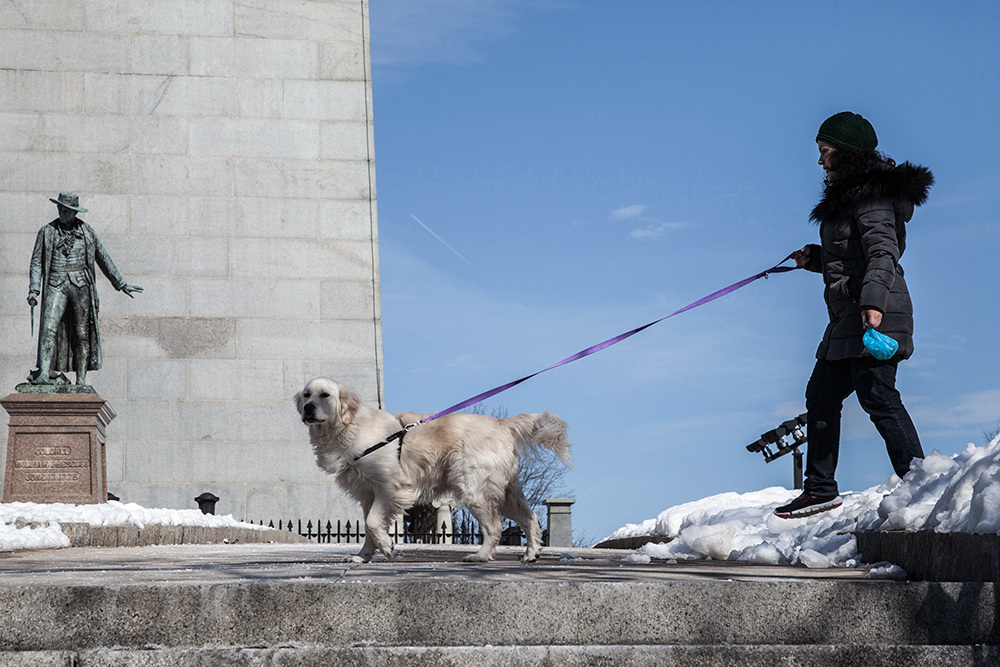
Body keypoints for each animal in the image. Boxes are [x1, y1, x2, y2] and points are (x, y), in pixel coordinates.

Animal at [292, 376, 572, 564]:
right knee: (530, 517)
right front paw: (363, 556)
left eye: (325, 395)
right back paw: (531, 554)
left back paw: (480, 556)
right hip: (506, 491)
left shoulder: (390, 487)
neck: (349, 429)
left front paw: (387, 546)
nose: (308, 408)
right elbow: (369, 527)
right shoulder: (367, 493)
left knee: (494, 525)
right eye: (306, 395)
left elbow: (372, 522)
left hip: (473, 488)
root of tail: (502, 424)